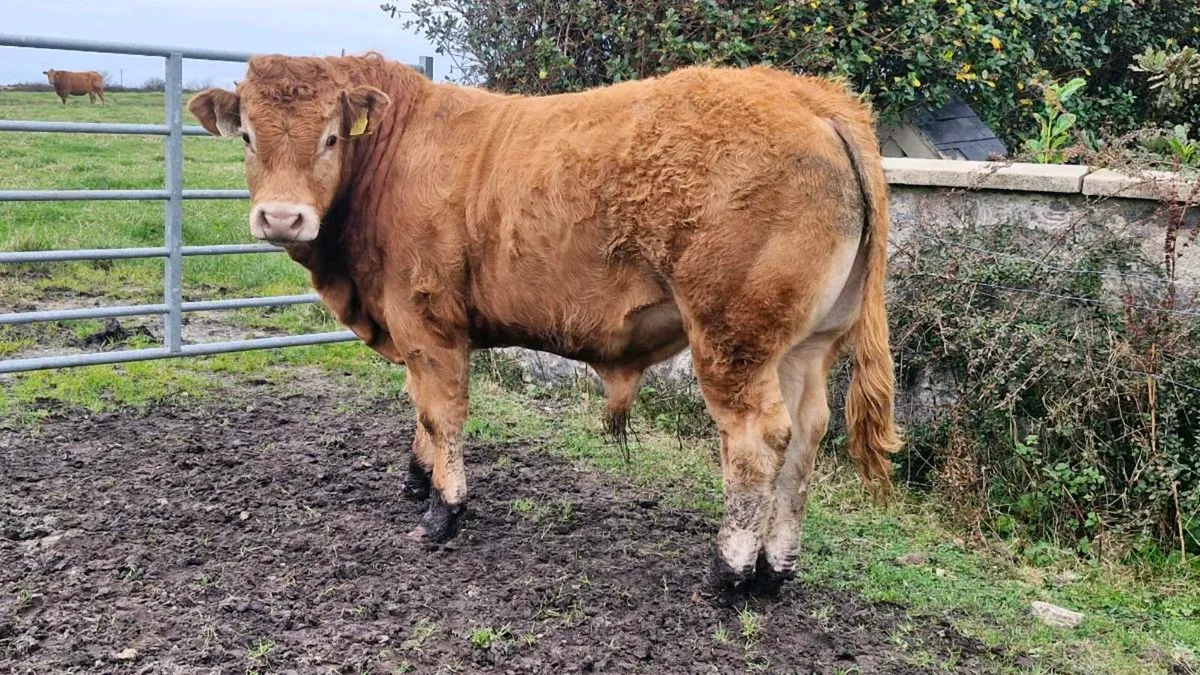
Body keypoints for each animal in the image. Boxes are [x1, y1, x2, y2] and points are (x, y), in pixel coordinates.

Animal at [187, 52, 901, 604]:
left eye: (331, 138)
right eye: (247, 136)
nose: (282, 218)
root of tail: (810, 97)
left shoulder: (427, 320)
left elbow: (442, 412)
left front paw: (443, 511)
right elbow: (418, 406)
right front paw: (417, 478)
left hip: (732, 339)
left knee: (757, 443)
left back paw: (728, 572)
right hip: (804, 346)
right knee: (807, 435)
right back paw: (775, 570)